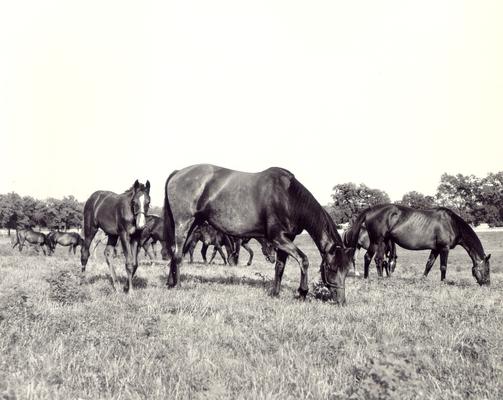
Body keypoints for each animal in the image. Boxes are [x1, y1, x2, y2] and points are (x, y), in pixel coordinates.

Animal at [163, 162, 352, 304]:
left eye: (347, 269)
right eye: (331, 268)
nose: (341, 301)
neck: (287, 197)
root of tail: (178, 173)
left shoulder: (285, 239)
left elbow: (280, 266)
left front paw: (275, 293)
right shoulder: (278, 238)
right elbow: (303, 260)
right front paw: (302, 292)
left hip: (193, 224)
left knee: (175, 251)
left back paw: (170, 283)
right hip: (183, 223)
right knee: (178, 254)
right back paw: (178, 286)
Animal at [346, 203, 492, 284]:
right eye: (487, 269)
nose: (487, 284)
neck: (451, 223)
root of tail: (370, 210)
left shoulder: (436, 249)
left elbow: (429, 264)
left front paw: (423, 279)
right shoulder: (444, 248)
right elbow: (443, 266)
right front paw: (444, 281)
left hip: (383, 242)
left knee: (378, 259)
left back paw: (378, 278)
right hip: (377, 241)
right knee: (369, 257)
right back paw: (369, 278)